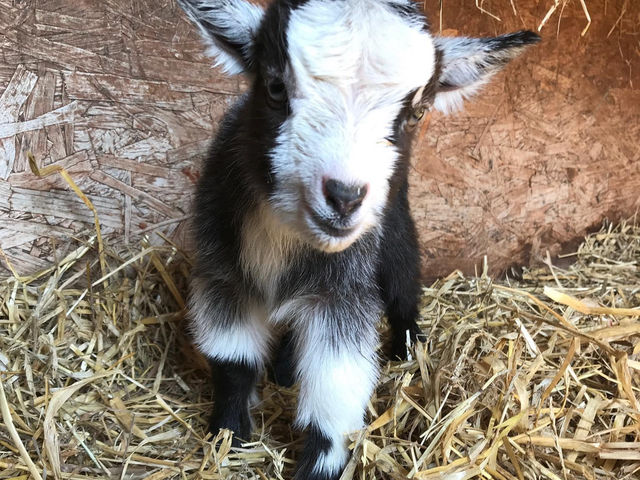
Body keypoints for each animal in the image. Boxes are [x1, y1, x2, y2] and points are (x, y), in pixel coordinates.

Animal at [176, 0, 540, 478]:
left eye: (416, 113)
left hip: (395, 225)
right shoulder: (222, 272)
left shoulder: (344, 292)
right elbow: (233, 361)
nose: (344, 197)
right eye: (274, 87)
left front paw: (321, 463)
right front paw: (228, 435)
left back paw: (409, 350)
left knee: (403, 283)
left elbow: (336, 384)